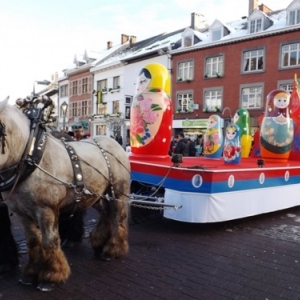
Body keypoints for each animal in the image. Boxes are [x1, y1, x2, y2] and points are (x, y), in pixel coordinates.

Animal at [0, 96, 131, 290]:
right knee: (105, 213)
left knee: (118, 217)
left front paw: (51, 276)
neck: (31, 154)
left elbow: (50, 240)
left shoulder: (47, 210)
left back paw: (113, 249)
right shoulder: (22, 213)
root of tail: (114, 143)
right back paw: (99, 243)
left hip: (119, 192)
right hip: (97, 194)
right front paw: (31, 273)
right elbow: (33, 241)